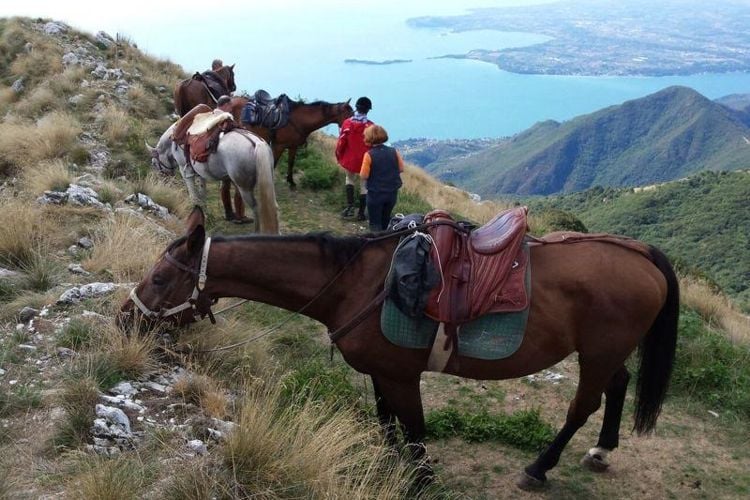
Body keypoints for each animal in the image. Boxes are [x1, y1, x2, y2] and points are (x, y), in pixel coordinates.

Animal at [119, 207, 679, 490]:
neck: (355, 285)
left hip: (598, 352)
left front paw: (422, 479)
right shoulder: (380, 375)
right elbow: (388, 425)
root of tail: (641, 253)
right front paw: (394, 468)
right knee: (620, 384)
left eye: (161, 277)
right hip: (606, 351)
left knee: (583, 404)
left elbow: (412, 432)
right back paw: (602, 450)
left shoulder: (401, 376)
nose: (125, 319)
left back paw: (540, 468)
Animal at [146, 129, 279, 234]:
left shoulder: (186, 172)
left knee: (258, 208)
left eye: (154, 163)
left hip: (244, 187)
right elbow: (202, 194)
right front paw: (204, 213)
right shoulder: (200, 174)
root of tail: (256, 143)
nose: (162, 181)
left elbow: (194, 196)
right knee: (273, 206)